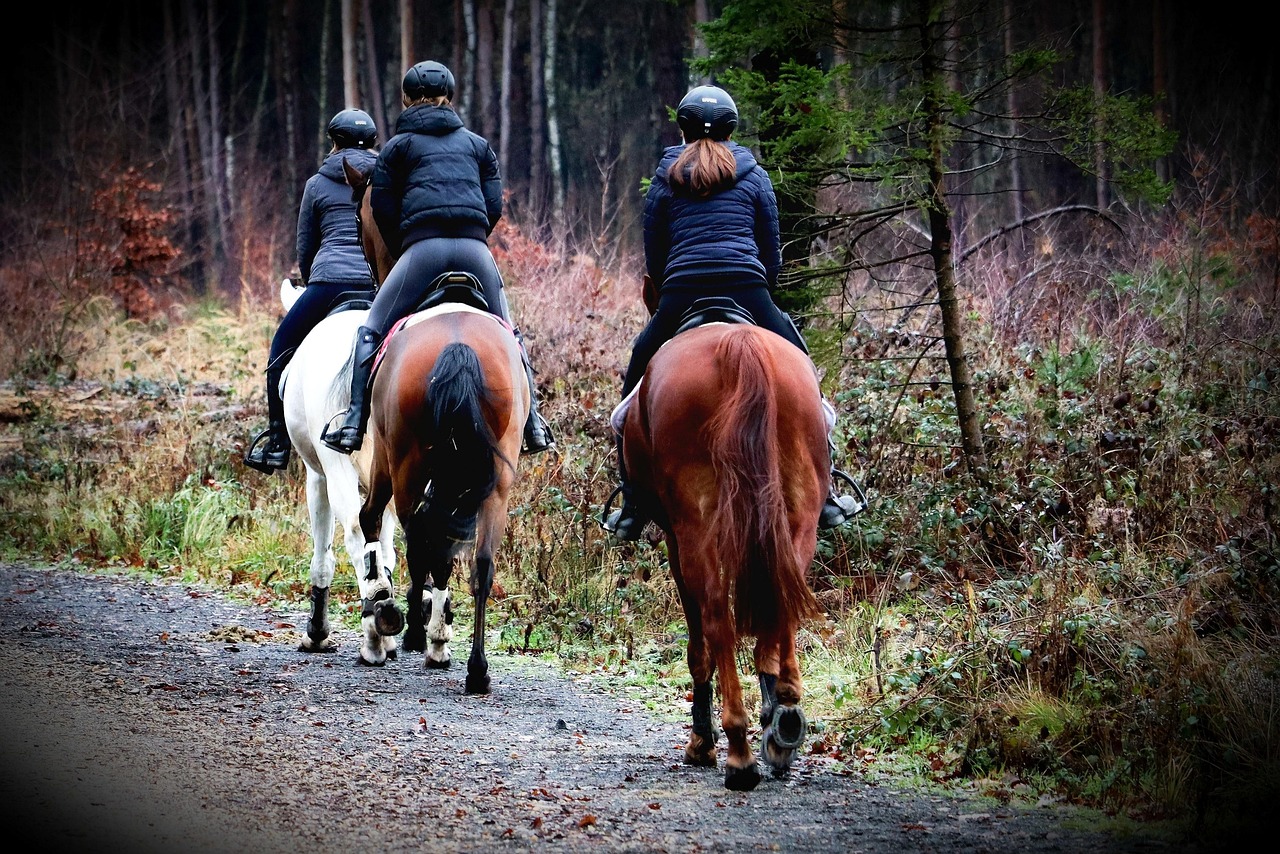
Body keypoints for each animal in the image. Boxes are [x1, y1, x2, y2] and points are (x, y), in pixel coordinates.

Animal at [279, 278, 404, 666]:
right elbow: (388, 550)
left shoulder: (317, 477)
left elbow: (323, 556)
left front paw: (317, 633)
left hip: (335, 471)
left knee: (353, 533)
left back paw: (373, 638)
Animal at [344, 159, 530, 694]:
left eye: (360, 218)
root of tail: (458, 344)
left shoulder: (383, 459)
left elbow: (374, 520)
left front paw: (397, 617)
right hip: (495, 479)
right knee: (478, 561)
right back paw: (475, 668)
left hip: (407, 463)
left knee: (420, 533)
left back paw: (416, 632)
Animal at [615, 289, 828, 791]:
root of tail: (737, 345)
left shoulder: (675, 540)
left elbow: (698, 645)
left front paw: (701, 742)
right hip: (798, 515)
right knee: (781, 601)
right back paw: (783, 717)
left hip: (697, 529)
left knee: (716, 619)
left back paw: (737, 752)